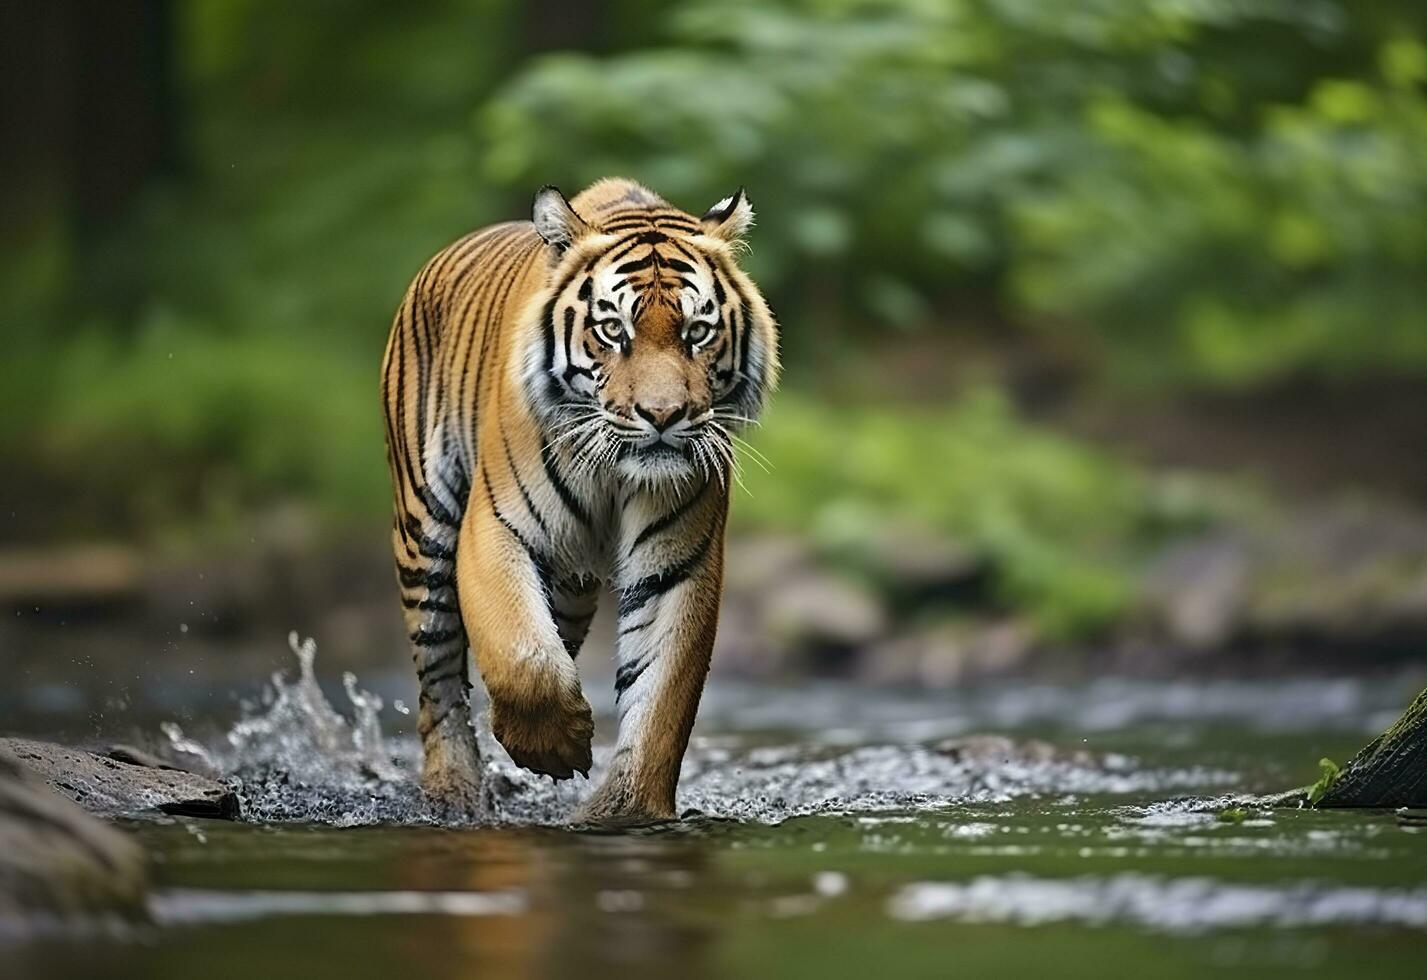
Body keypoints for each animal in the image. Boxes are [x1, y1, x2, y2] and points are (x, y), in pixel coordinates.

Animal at [379, 178, 781, 827]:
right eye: (614, 329)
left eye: (697, 332)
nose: (663, 416)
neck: (615, 474)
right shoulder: (495, 528)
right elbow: (520, 655)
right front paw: (556, 748)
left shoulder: (677, 566)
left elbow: (661, 700)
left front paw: (625, 812)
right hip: (424, 528)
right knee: (438, 676)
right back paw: (453, 791)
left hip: (568, 586)